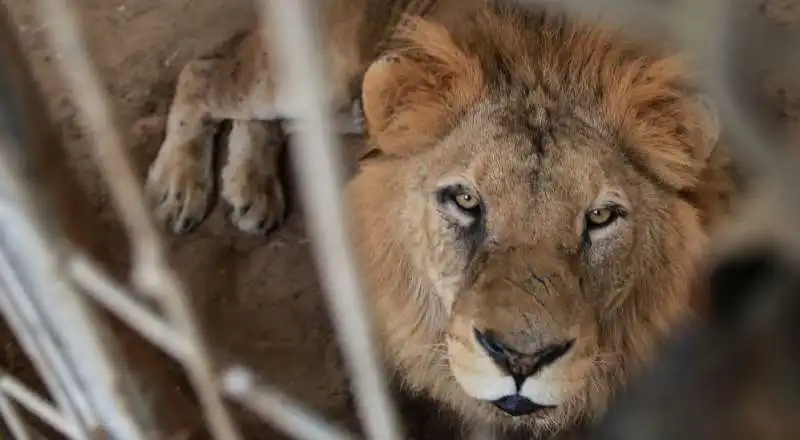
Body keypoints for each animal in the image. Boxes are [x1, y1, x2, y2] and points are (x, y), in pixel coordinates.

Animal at [144, 0, 732, 436]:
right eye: (465, 201)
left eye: (602, 216)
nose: (521, 360)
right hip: (320, 73)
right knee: (205, 72)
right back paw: (179, 184)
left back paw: (249, 188)